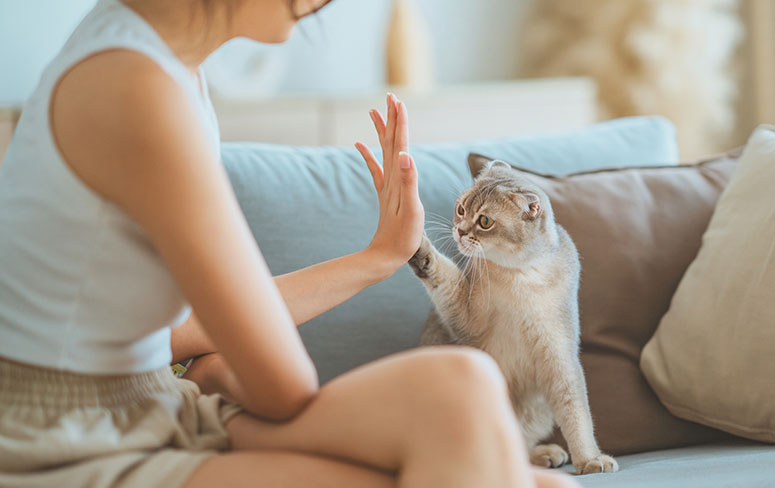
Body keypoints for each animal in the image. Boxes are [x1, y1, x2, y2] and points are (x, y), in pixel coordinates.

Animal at [412, 159, 620, 472]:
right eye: (461, 209)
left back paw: (544, 454)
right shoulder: (466, 317)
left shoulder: (560, 354)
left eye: (485, 221)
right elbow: (442, 272)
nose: (459, 230)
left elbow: (576, 412)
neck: (521, 276)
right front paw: (419, 249)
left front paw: (589, 458)